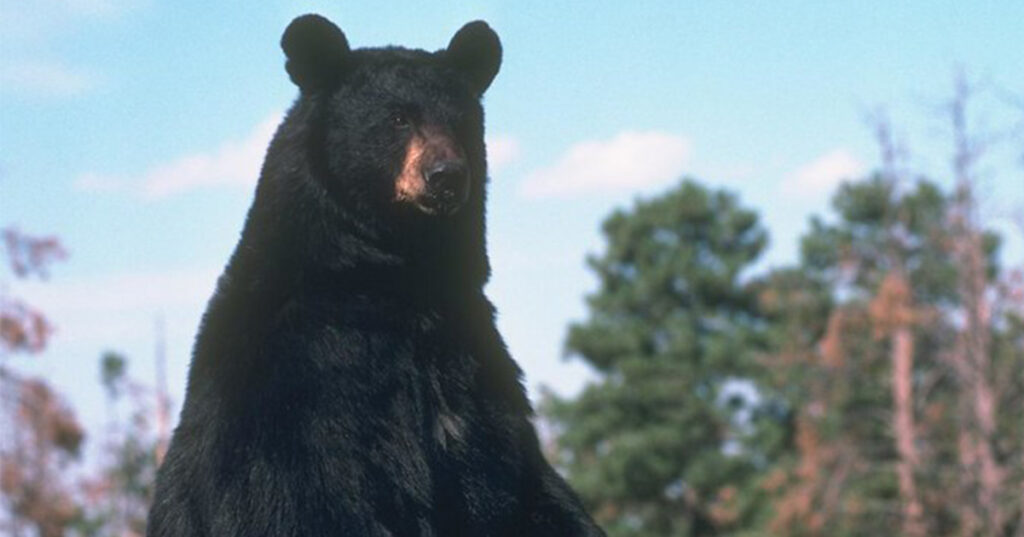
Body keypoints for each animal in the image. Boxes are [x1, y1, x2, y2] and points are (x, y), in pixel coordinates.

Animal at [147, 14, 606, 537]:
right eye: (398, 118)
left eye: (462, 121)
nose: (447, 175)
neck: (392, 281)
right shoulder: (304, 395)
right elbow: (310, 500)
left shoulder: (475, 373)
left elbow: (521, 490)